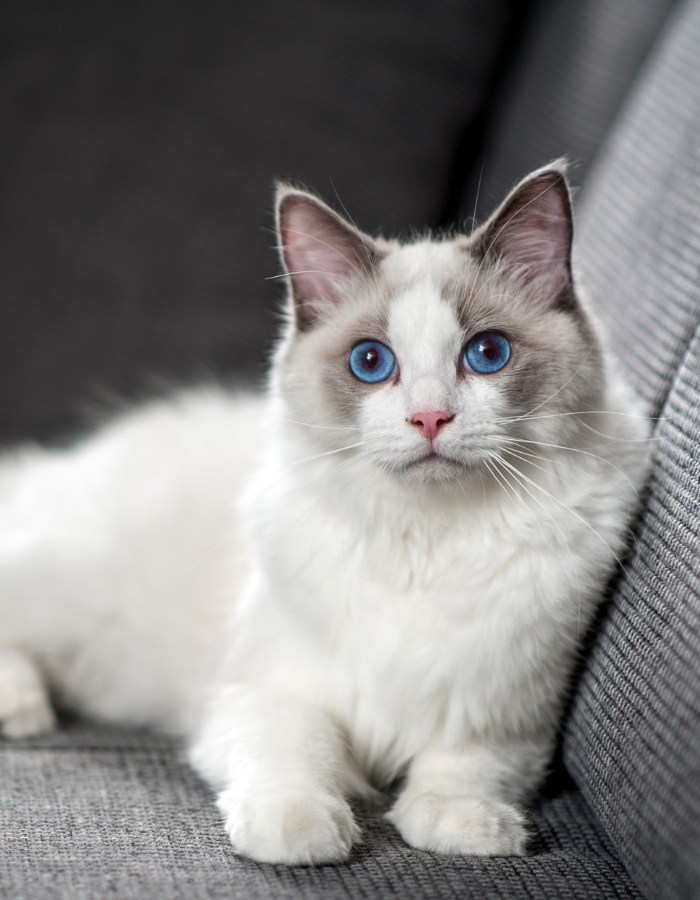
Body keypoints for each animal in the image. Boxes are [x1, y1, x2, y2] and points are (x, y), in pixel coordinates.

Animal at [0, 163, 652, 864]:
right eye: (371, 363)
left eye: (488, 354)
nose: (430, 418)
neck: (429, 538)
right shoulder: (266, 690)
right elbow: (299, 747)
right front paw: (299, 832)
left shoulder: (505, 721)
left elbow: (460, 771)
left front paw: (463, 827)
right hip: (70, 584)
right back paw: (21, 710)